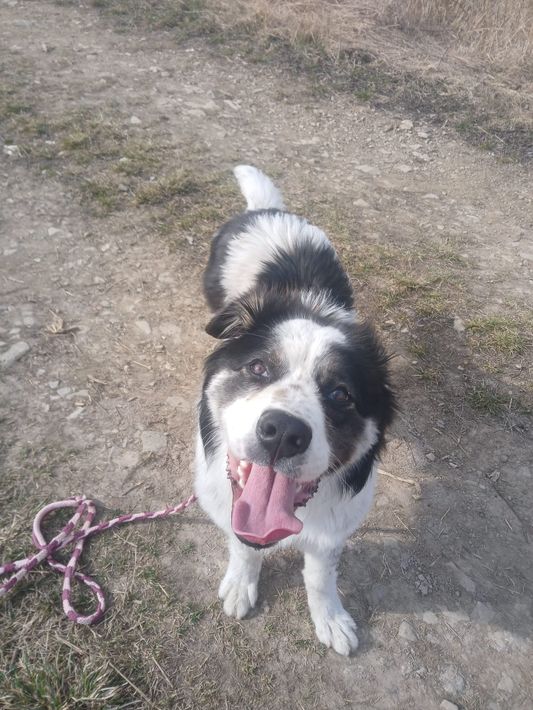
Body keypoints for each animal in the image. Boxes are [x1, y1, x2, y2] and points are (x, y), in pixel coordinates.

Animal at [195, 165, 395, 655]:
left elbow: (321, 576)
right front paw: (241, 584)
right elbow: (243, 545)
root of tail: (266, 210)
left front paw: (332, 620)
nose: (283, 432)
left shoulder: (334, 526)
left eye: (341, 394)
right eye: (258, 367)